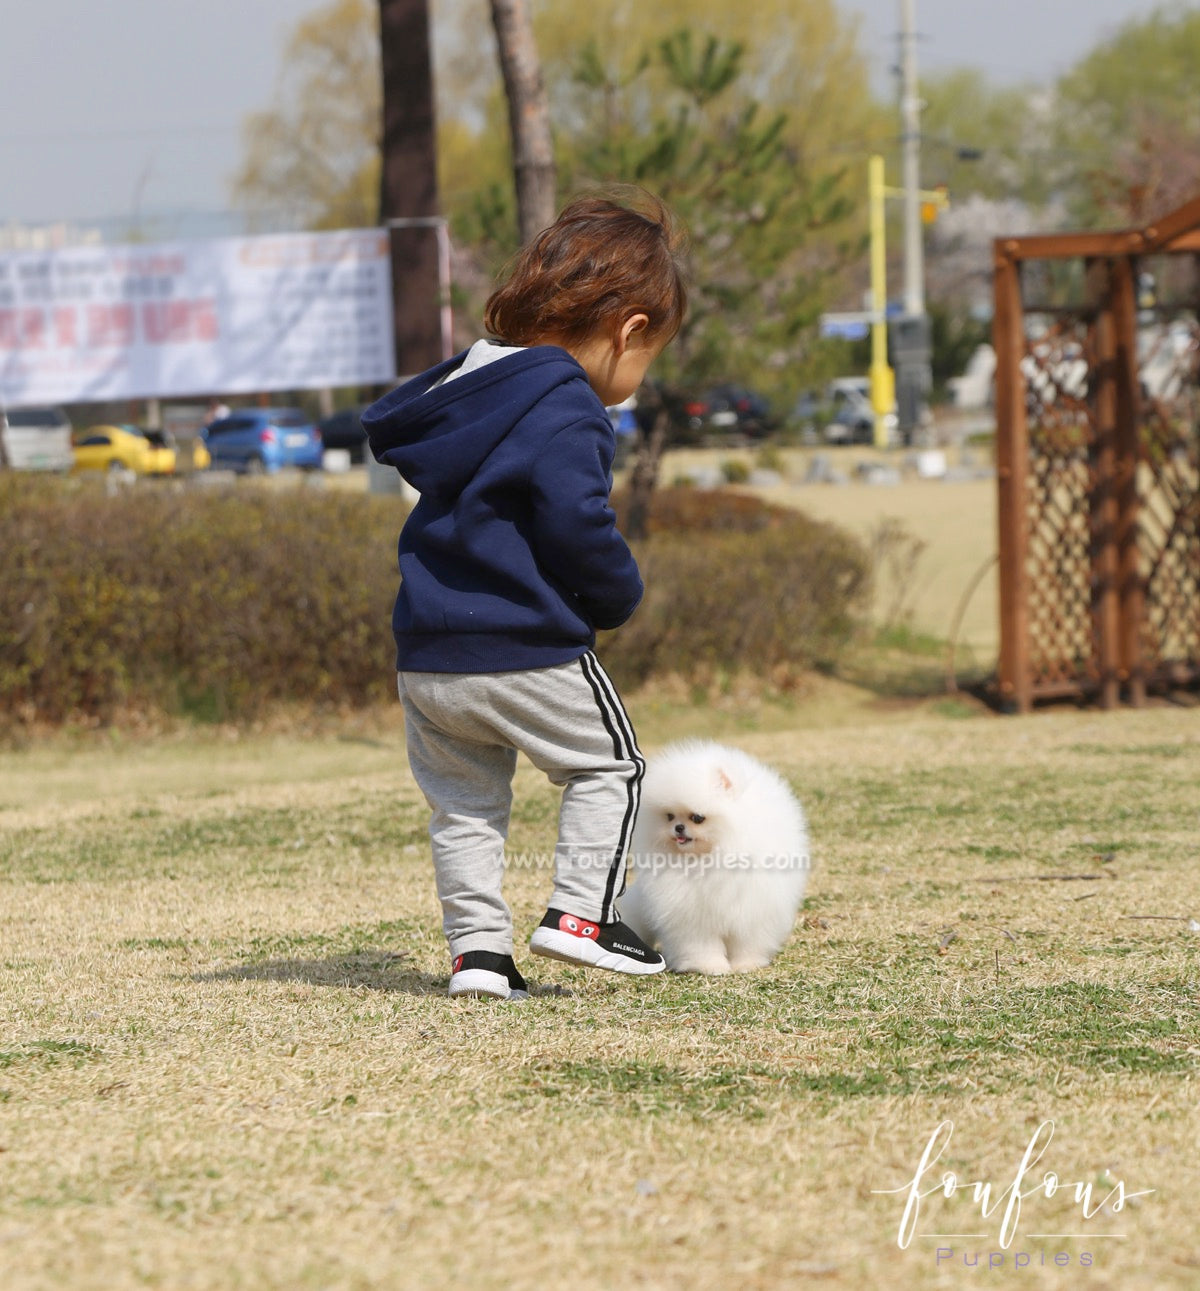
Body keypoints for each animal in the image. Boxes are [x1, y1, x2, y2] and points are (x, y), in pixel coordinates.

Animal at [621, 743, 810, 970]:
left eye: (697, 818)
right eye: (669, 816)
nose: (678, 828)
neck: (712, 856)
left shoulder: (752, 908)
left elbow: (747, 942)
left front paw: (746, 964)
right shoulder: (693, 914)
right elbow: (701, 944)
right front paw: (710, 967)